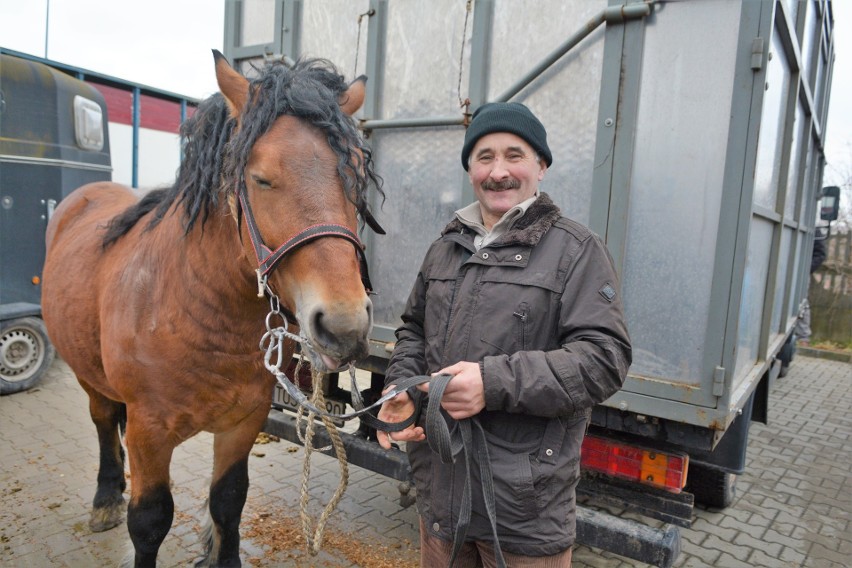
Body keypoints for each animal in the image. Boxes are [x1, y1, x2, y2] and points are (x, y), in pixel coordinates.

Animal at [41, 51, 382, 564]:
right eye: (260, 178)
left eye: (356, 176)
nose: (344, 327)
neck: (199, 313)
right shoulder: (148, 432)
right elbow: (149, 521)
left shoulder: (243, 423)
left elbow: (228, 503)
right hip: (87, 373)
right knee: (102, 421)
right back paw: (105, 498)